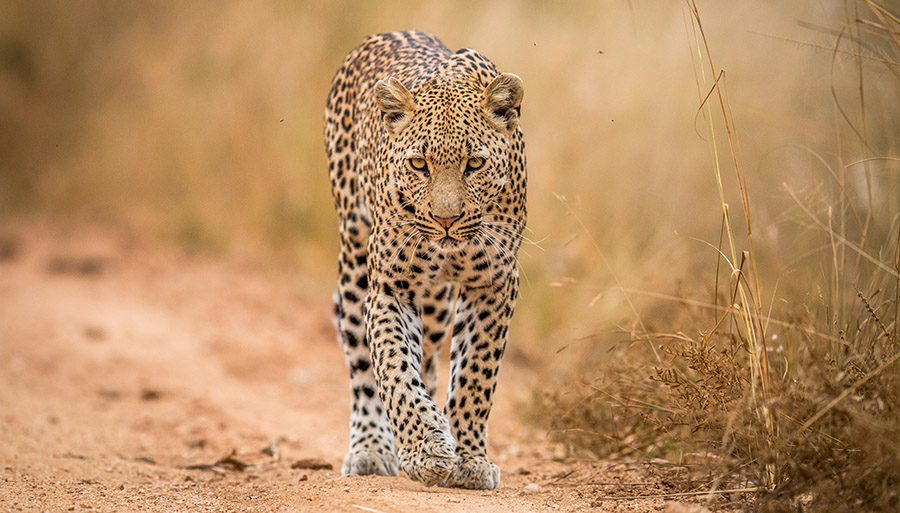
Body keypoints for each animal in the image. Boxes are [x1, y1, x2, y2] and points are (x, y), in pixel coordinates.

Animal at [324, 30, 526, 490]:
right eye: (418, 163)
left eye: (475, 163)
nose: (445, 219)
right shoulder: (390, 286)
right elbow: (394, 367)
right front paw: (424, 448)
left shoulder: (494, 284)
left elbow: (474, 374)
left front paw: (468, 459)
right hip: (354, 262)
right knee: (362, 363)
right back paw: (371, 448)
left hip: (436, 305)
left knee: (432, 359)